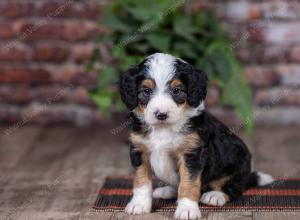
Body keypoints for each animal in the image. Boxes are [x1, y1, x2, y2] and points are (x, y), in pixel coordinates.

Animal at [118, 52, 274, 219]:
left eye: (176, 90)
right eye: (146, 91)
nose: (161, 114)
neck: (164, 128)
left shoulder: (191, 154)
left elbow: (188, 184)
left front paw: (187, 209)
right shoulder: (139, 150)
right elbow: (142, 181)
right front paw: (139, 204)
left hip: (238, 163)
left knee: (233, 189)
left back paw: (215, 195)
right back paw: (167, 190)